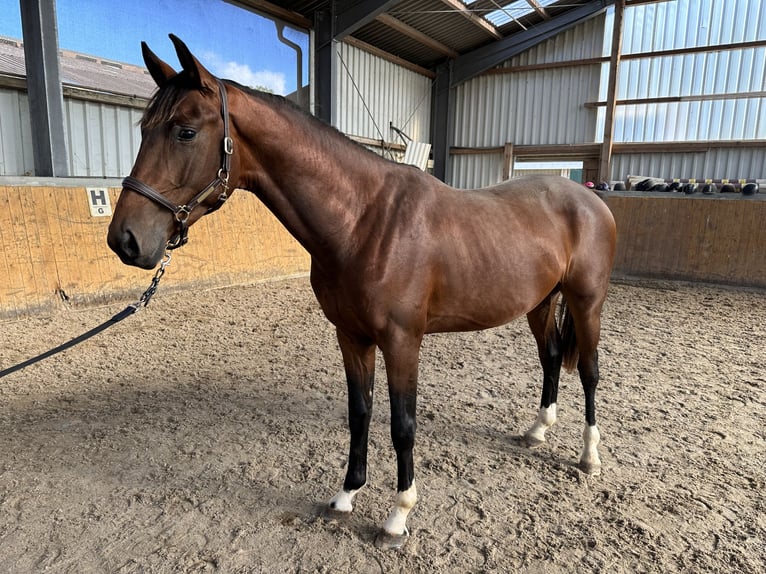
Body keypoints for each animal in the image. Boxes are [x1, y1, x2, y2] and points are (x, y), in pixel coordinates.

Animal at [106, 35, 616, 548]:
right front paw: (346, 495)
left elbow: (403, 425)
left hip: (585, 302)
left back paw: (589, 457)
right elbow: (360, 412)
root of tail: (589, 197)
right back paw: (537, 431)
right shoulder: (351, 336)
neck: (365, 220)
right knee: (551, 357)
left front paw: (397, 516)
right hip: (541, 302)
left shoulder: (402, 342)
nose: (124, 240)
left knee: (589, 371)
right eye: (144, 129)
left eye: (185, 132)